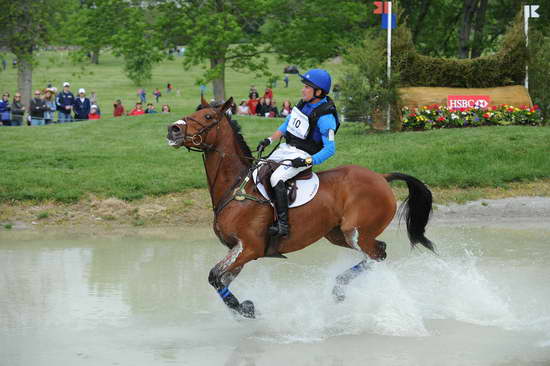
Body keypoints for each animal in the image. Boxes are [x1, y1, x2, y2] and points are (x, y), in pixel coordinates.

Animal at [166, 96, 438, 318]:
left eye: (208, 117)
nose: (173, 129)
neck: (237, 187)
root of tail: (381, 177)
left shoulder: (249, 248)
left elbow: (214, 276)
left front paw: (245, 309)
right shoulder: (237, 250)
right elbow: (221, 280)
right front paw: (243, 307)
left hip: (355, 232)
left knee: (376, 254)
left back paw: (340, 287)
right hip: (337, 234)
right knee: (378, 252)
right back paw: (340, 286)